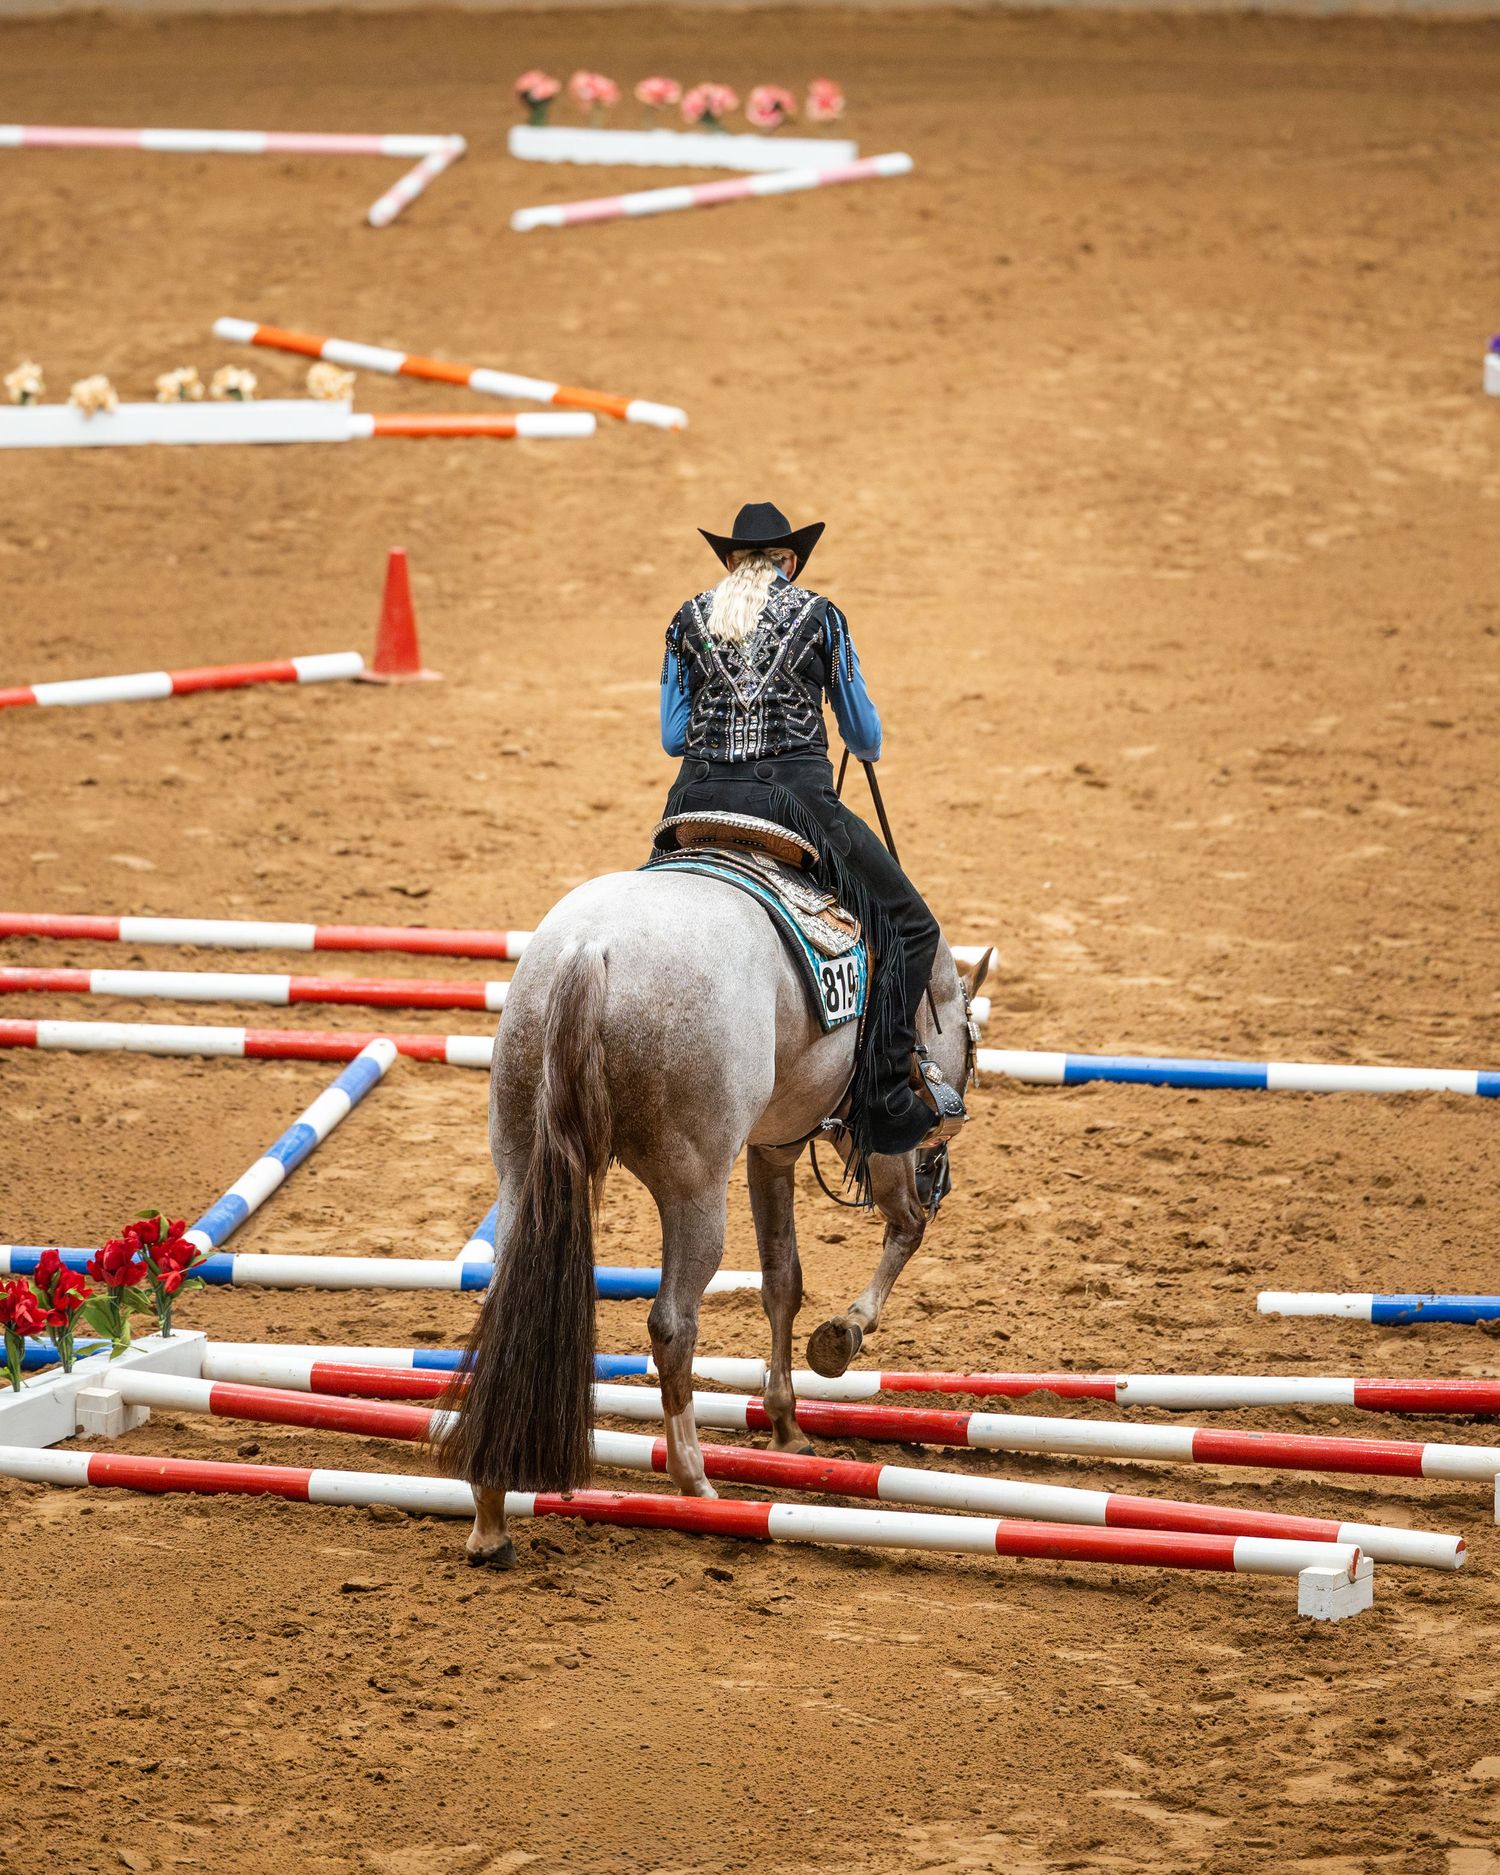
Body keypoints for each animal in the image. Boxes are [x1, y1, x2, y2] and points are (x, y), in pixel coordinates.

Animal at [442, 862, 990, 1569]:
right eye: (971, 1054)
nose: (941, 1178)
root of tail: (590, 950)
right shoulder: (876, 1142)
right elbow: (901, 1230)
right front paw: (844, 1333)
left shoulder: (772, 1147)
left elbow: (783, 1281)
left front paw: (786, 1424)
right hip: (695, 1190)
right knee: (673, 1324)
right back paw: (695, 1479)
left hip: (520, 1169)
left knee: (507, 1312)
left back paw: (489, 1514)